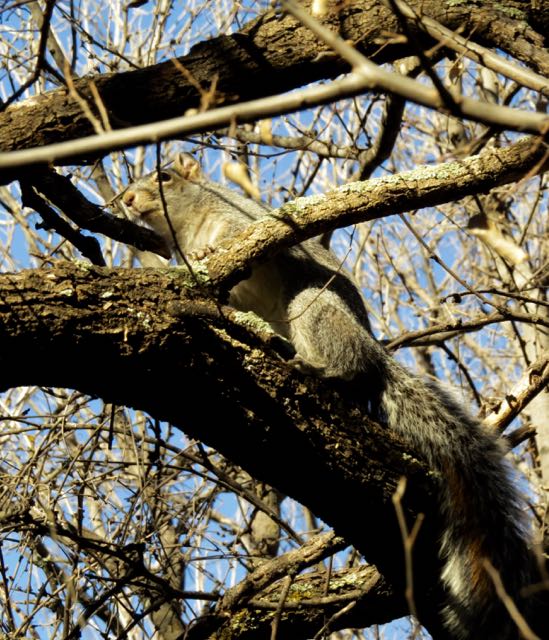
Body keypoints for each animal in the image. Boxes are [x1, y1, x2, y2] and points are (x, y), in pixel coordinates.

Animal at [123, 153, 534, 639]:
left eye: (164, 177)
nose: (126, 199)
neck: (187, 228)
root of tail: (375, 356)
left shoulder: (243, 220)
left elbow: (240, 239)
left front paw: (209, 253)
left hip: (312, 307)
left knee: (349, 363)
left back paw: (326, 370)